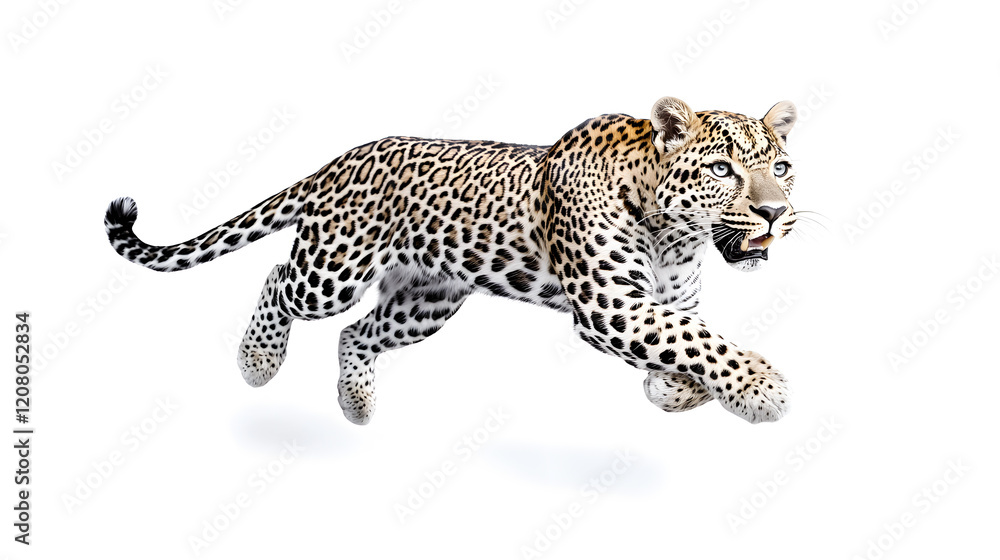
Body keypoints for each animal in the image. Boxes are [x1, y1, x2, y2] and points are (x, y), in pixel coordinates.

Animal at [104, 96, 800, 425]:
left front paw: (676, 390)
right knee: (279, 279)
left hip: (427, 300)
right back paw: (256, 364)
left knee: (357, 334)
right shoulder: (609, 303)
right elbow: (695, 341)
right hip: (333, 269)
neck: (674, 232)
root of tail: (341, 158)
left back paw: (357, 405)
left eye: (783, 166)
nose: (773, 213)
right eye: (722, 168)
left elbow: (682, 341)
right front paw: (762, 388)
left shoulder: (659, 302)